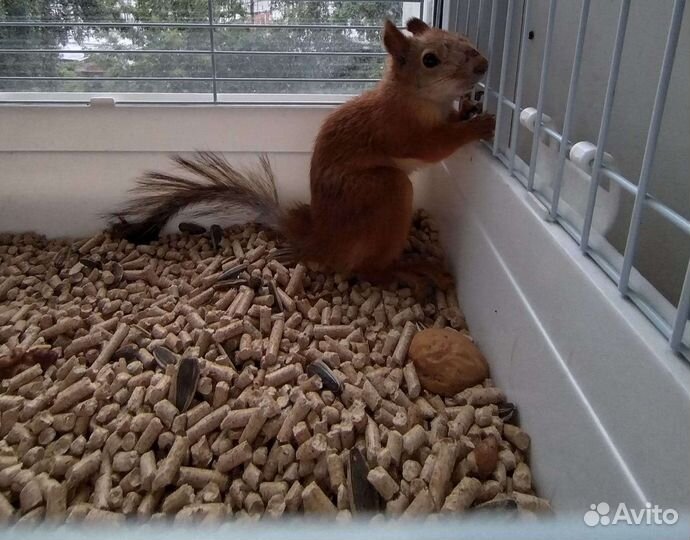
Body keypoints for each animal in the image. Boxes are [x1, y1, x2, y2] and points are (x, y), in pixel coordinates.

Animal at [112, 18, 495, 291]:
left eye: (461, 37)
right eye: (430, 60)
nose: (484, 64)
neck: (417, 98)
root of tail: (321, 241)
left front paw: (469, 110)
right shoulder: (398, 130)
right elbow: (434, 146)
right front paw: (479, 126)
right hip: (386, 193)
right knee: (367, 270)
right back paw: (411, 271)